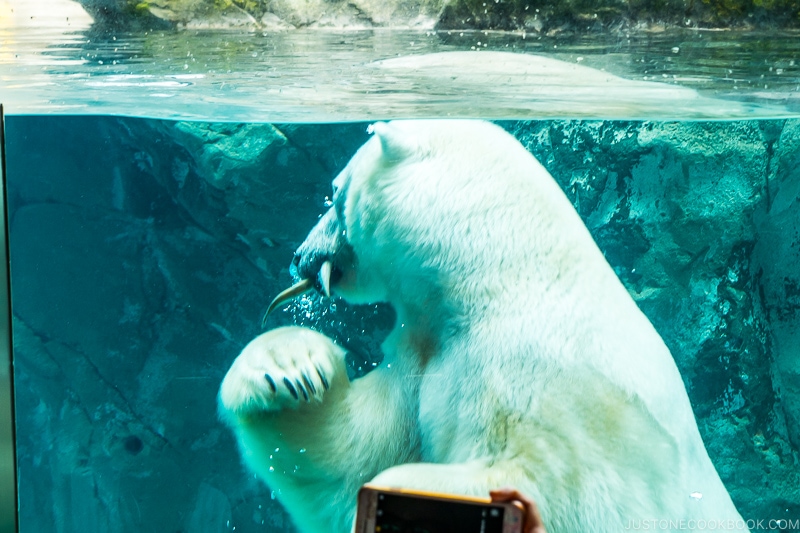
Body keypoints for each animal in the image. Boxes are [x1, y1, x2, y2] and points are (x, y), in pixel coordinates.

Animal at [217, 120, 744, 532]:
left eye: (333, 190)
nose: (300, 256)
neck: (504, 277)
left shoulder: (557, 383)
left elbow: (564, 493)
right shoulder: (423, 354)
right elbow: (352, 456)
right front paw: (290, 366)